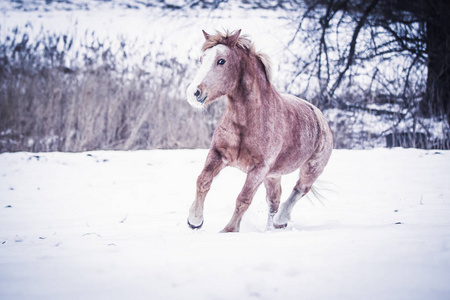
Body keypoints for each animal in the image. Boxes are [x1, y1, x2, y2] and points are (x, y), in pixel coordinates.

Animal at [185, 29, 332, 232]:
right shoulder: (218, 154)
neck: (247, 122)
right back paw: (271, 228)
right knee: (274, 200)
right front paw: (195, 220)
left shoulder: (259, 169)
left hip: (311, 169)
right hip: (273, 175)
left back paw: (280, 220)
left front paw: (229, 230)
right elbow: (203, 180)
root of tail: (320, 117)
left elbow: (244, 198)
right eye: (202, 59)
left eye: (221, 61)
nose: (194, 93)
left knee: (299, 190)